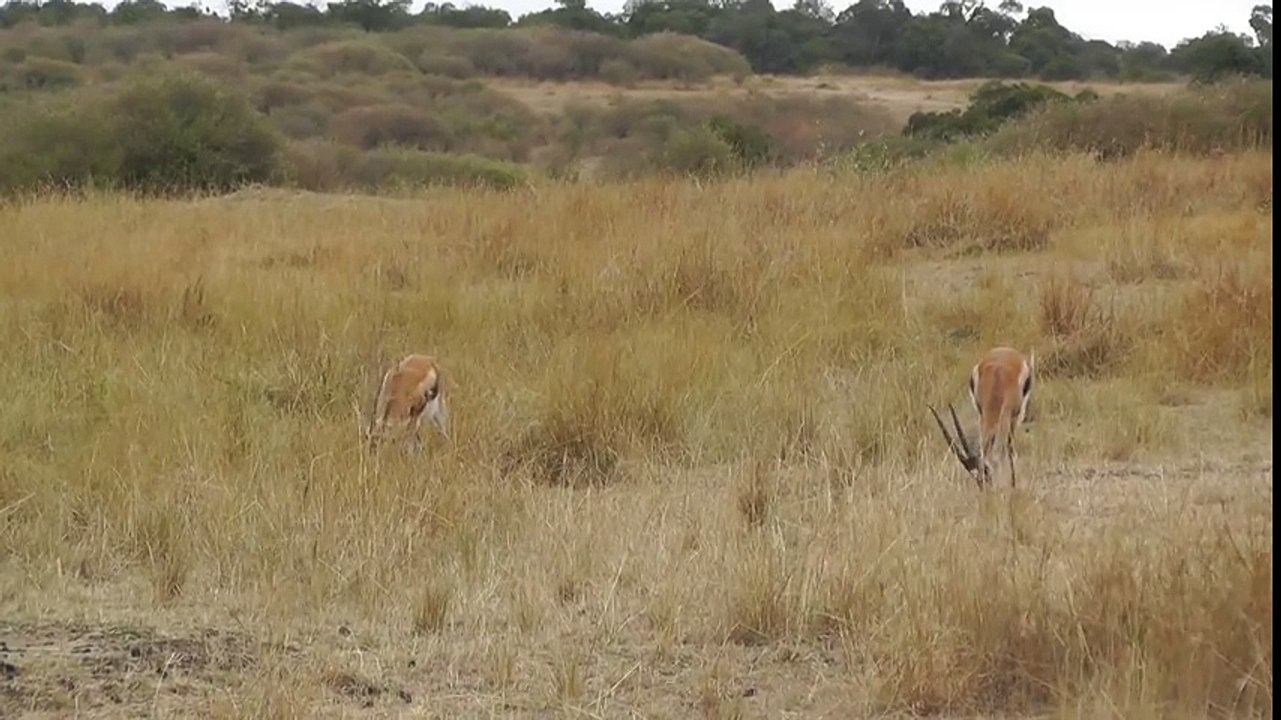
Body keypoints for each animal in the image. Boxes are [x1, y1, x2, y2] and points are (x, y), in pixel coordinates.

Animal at [929, 346, 1035, 489]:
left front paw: (1012, 485)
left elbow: (1006, 450)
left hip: (1015, 417)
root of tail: (1005, 350)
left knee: (1009, 447)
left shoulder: (1009, 416)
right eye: (976, 477)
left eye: (985, 473)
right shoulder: (982, 414)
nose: (984, 488)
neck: (998, 381)